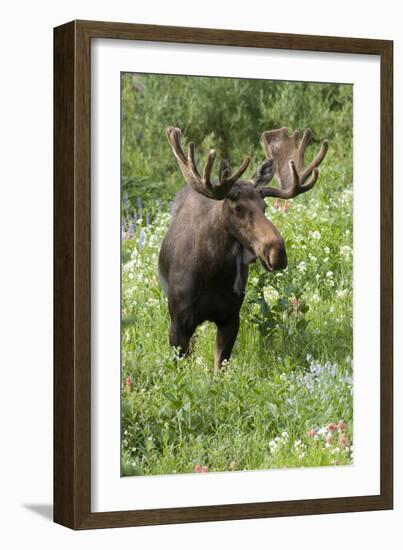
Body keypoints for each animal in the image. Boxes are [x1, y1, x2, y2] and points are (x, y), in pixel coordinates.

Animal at [158, 126, 328, 376]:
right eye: (238, 208)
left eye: (265, 206)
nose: (278, 252)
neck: (212, 274)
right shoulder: (178, 323)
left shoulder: (230, 318)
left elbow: (219, 370)